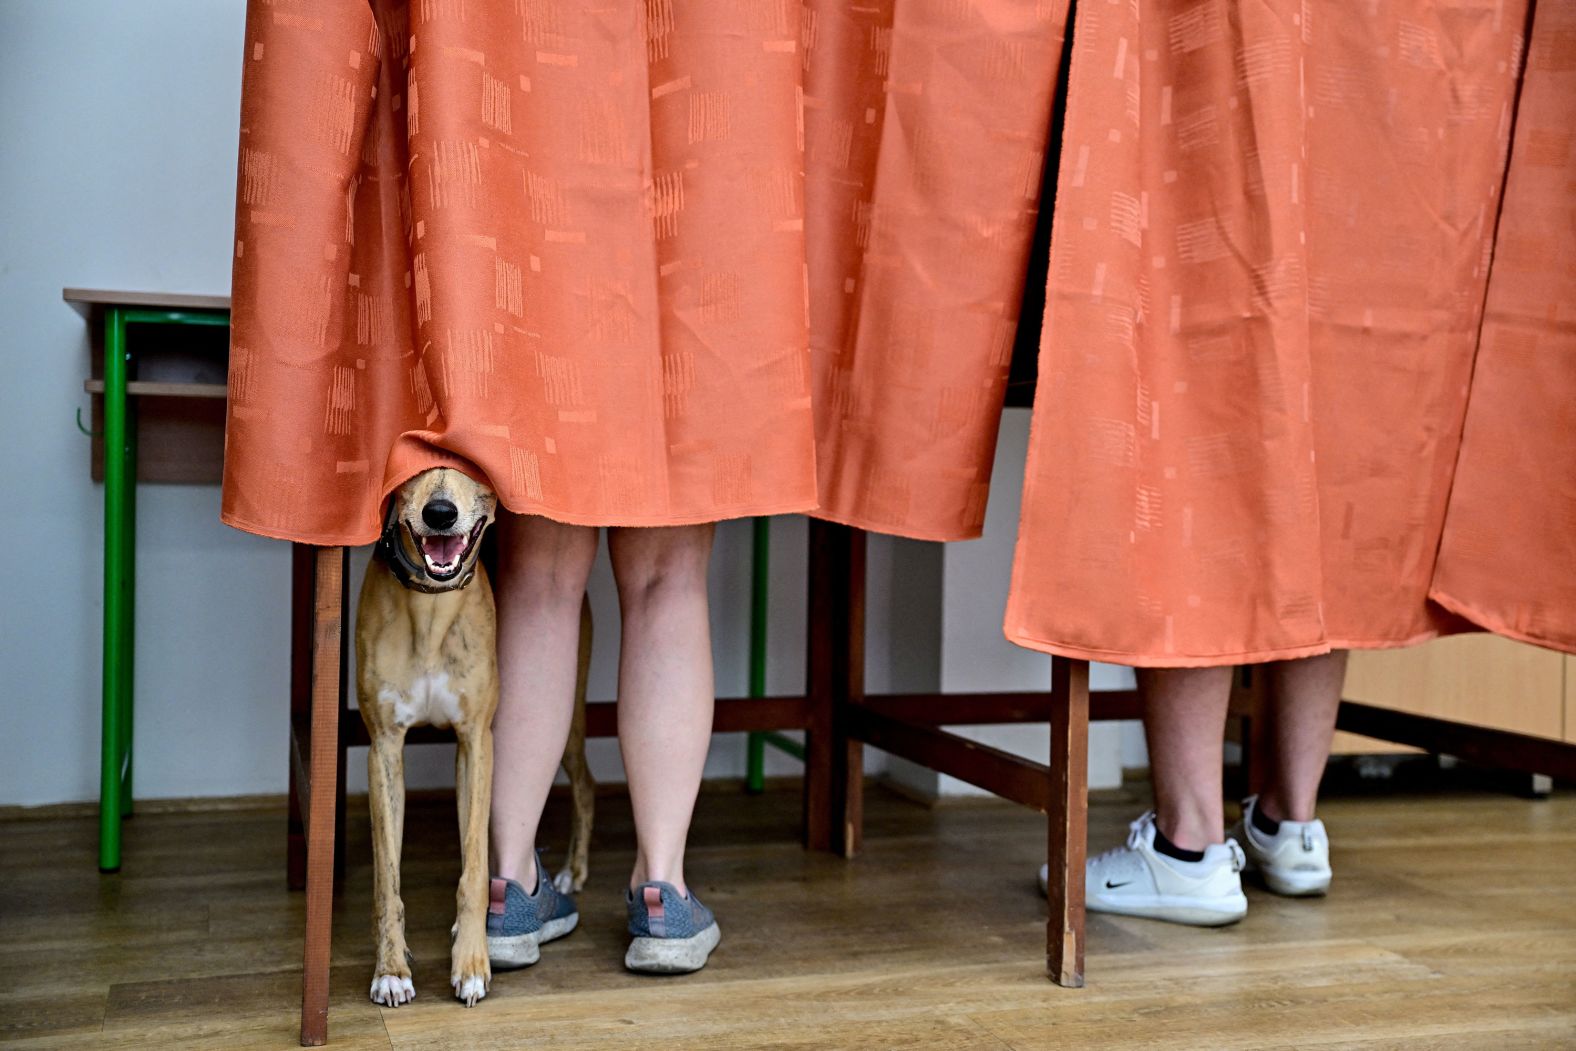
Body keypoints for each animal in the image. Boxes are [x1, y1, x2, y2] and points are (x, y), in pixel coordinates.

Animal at [357, 469, 595, 1008]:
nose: (440, 513)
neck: (431, 606)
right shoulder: (384, 747)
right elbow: (386, 878)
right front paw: (391, 970)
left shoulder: (476, 743)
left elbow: (474, 870)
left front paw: (470, 963)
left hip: (569, 718)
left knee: (587, 785)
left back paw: (574, 870)